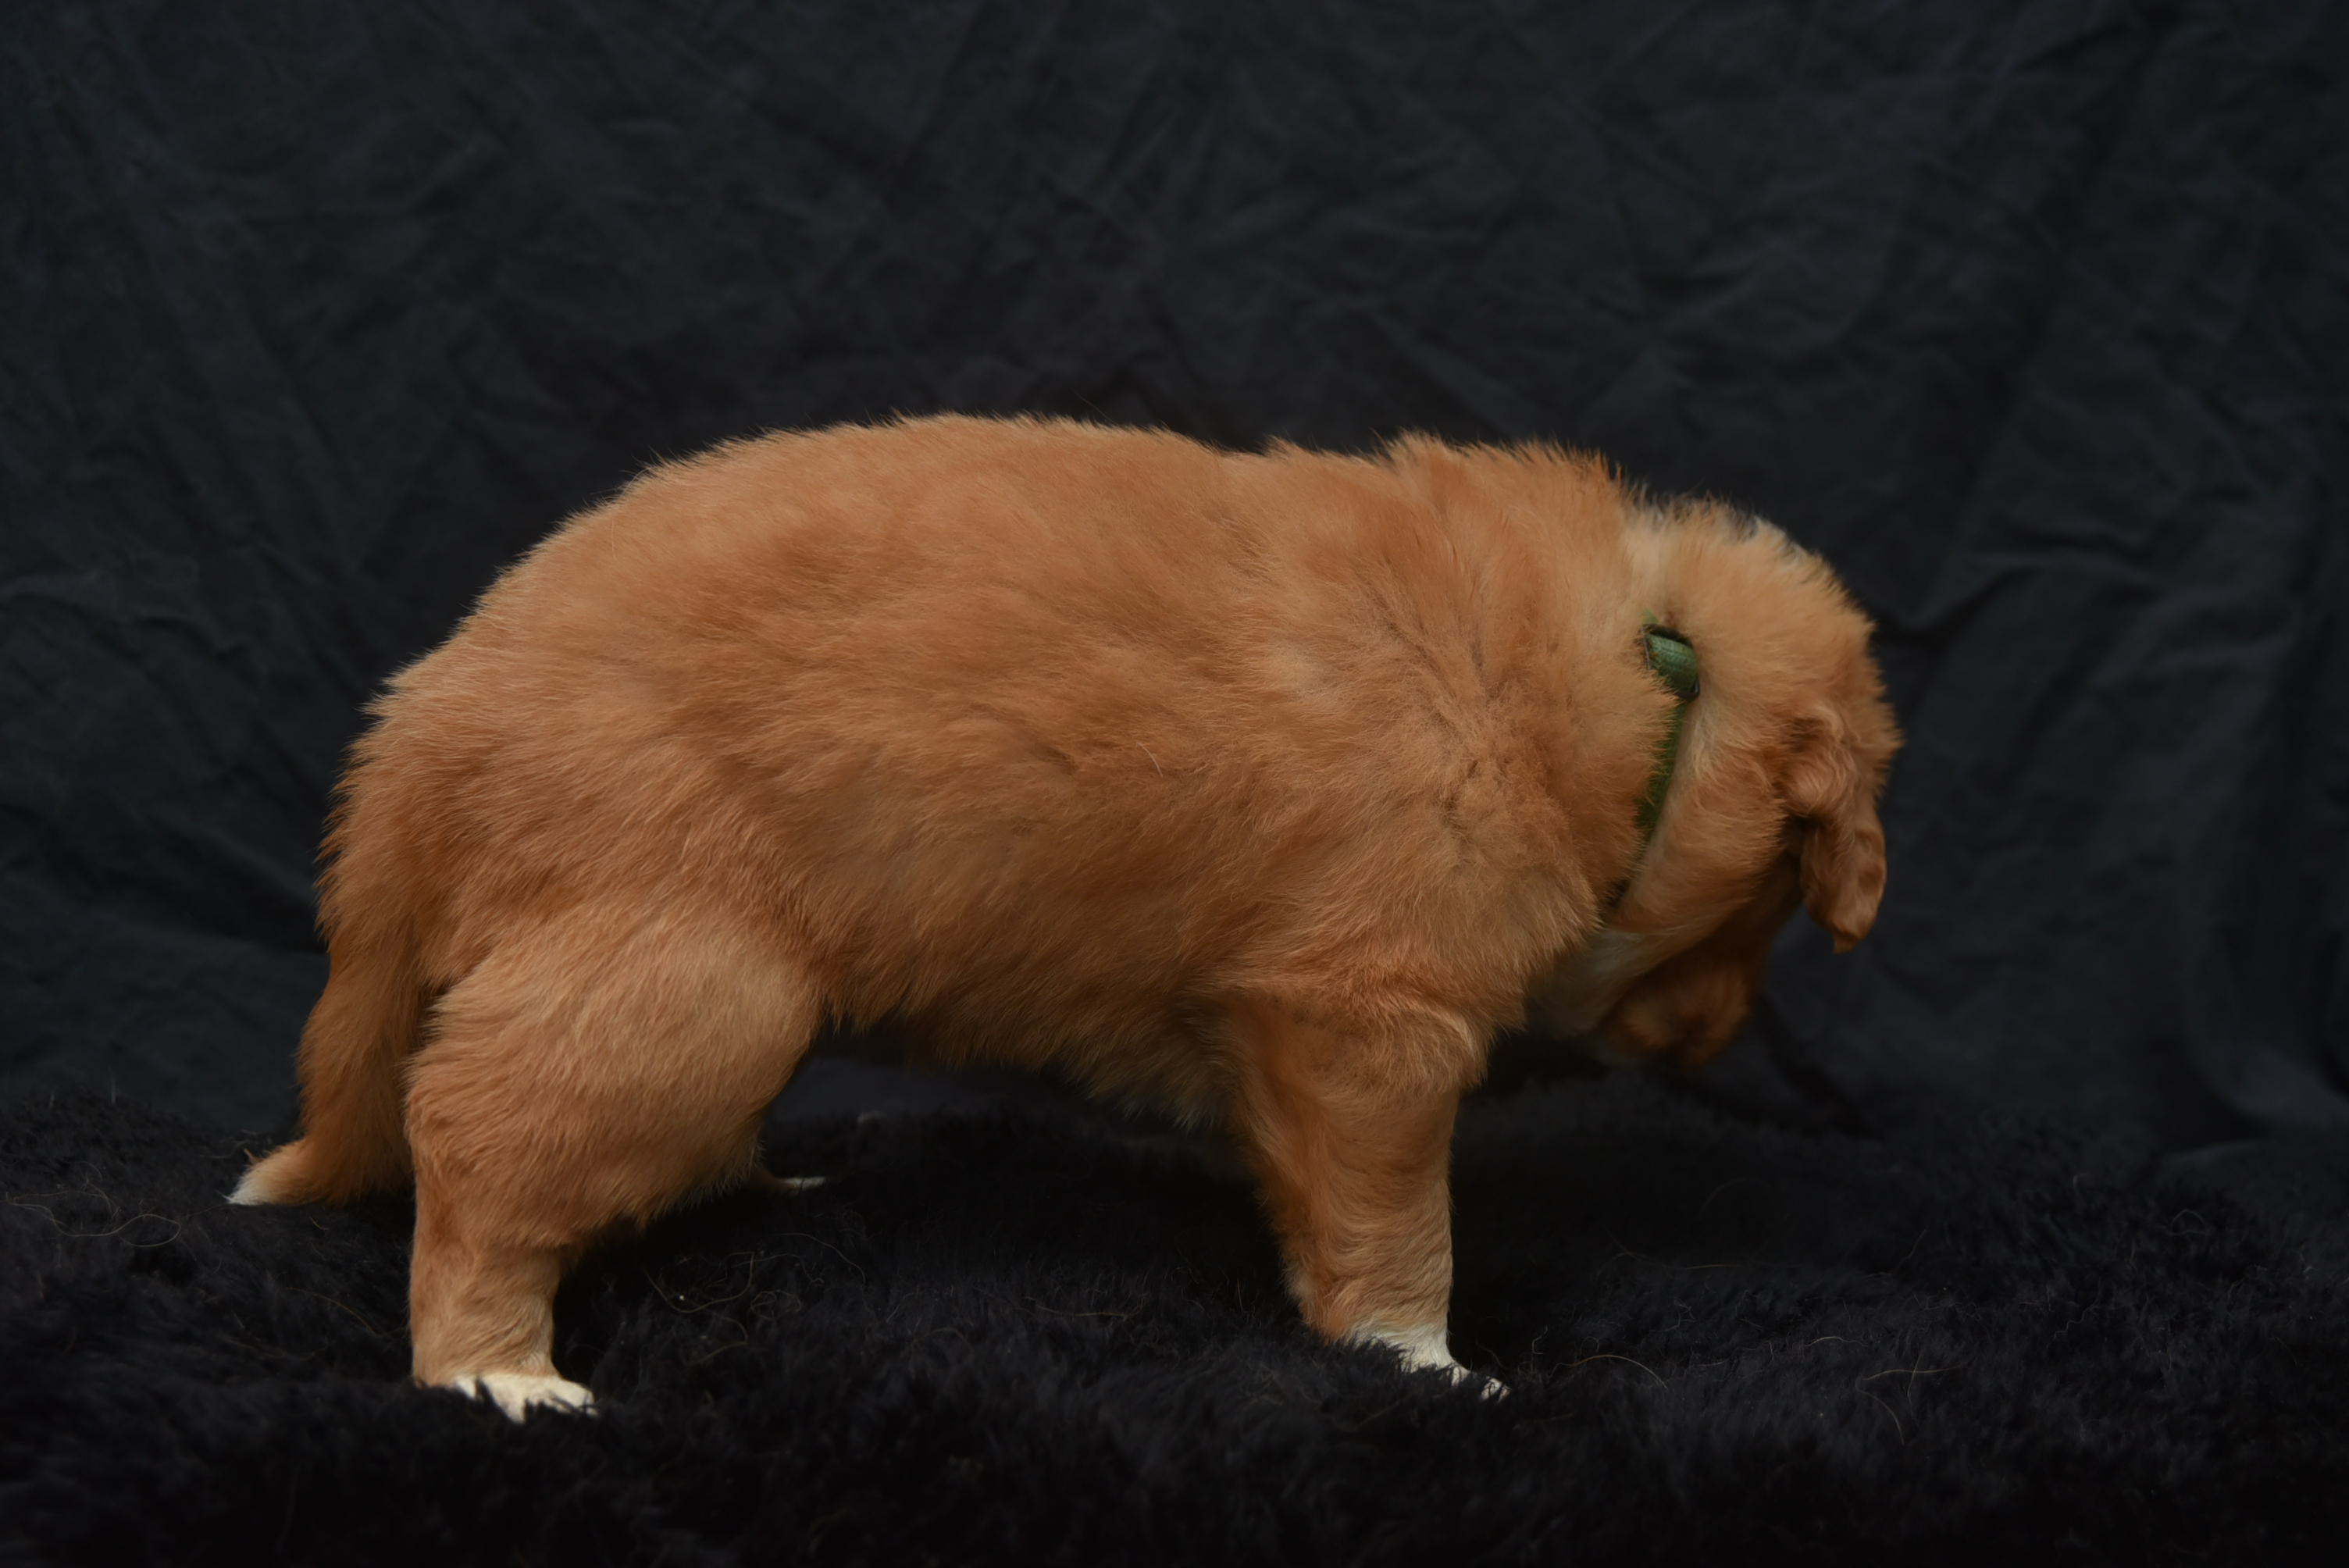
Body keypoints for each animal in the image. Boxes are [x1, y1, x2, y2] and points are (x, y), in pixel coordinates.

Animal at [232, 414, 1898, 1417]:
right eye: (1773, 900)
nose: (1714, 1039)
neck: (1650, 674)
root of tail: (423, 720)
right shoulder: (1370, 1016)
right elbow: (1398, 1226)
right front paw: (1421, 1359)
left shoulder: (1288, 1041)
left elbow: (1311, 1196)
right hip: (684, 976)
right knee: (478, 1135)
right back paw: (495, 1367)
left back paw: (748, 1183)